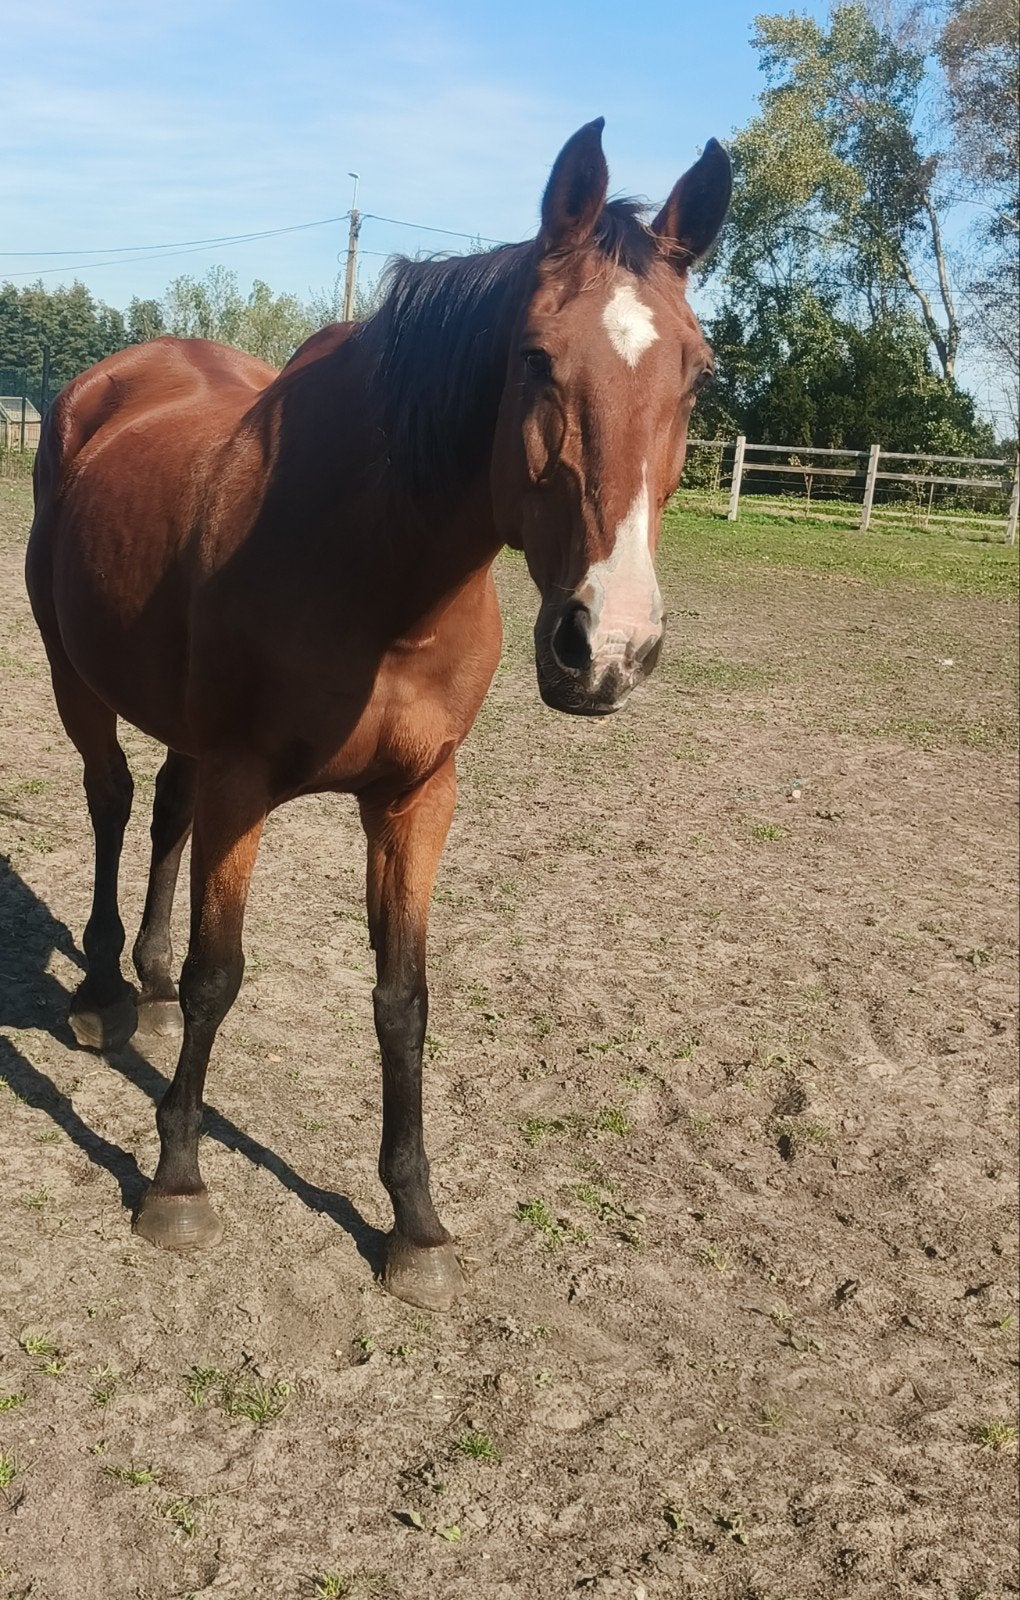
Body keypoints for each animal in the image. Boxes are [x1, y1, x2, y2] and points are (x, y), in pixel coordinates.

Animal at [25, 120, 731, 1311]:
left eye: (697, 370)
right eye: (535, 358)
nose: (610, 647)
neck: (380, 573)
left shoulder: (415, 796)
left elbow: (404, 999)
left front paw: (415, 1221)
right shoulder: (246, 784)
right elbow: (224, 976)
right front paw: (176, 1179)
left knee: (161, 811)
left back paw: (146, 985)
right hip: (77, 677)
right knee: (114, 802)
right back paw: (103, 987)